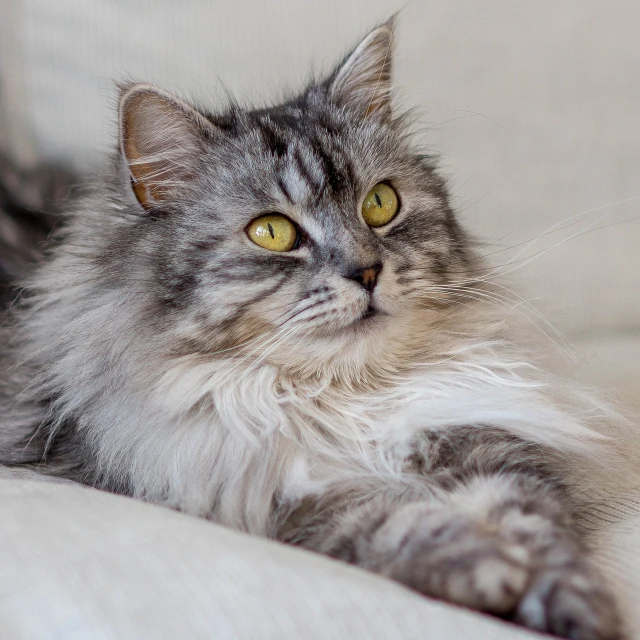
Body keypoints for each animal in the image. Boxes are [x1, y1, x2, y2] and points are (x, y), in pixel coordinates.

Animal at [0, 20, 624, 640]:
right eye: (272, 233)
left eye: (381, 204)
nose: (367, 272)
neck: (338, 399)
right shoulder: (273, 504)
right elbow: (396, 526)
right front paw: (490, 566)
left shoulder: (483, 447)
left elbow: (539, 525)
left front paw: (578, 606)